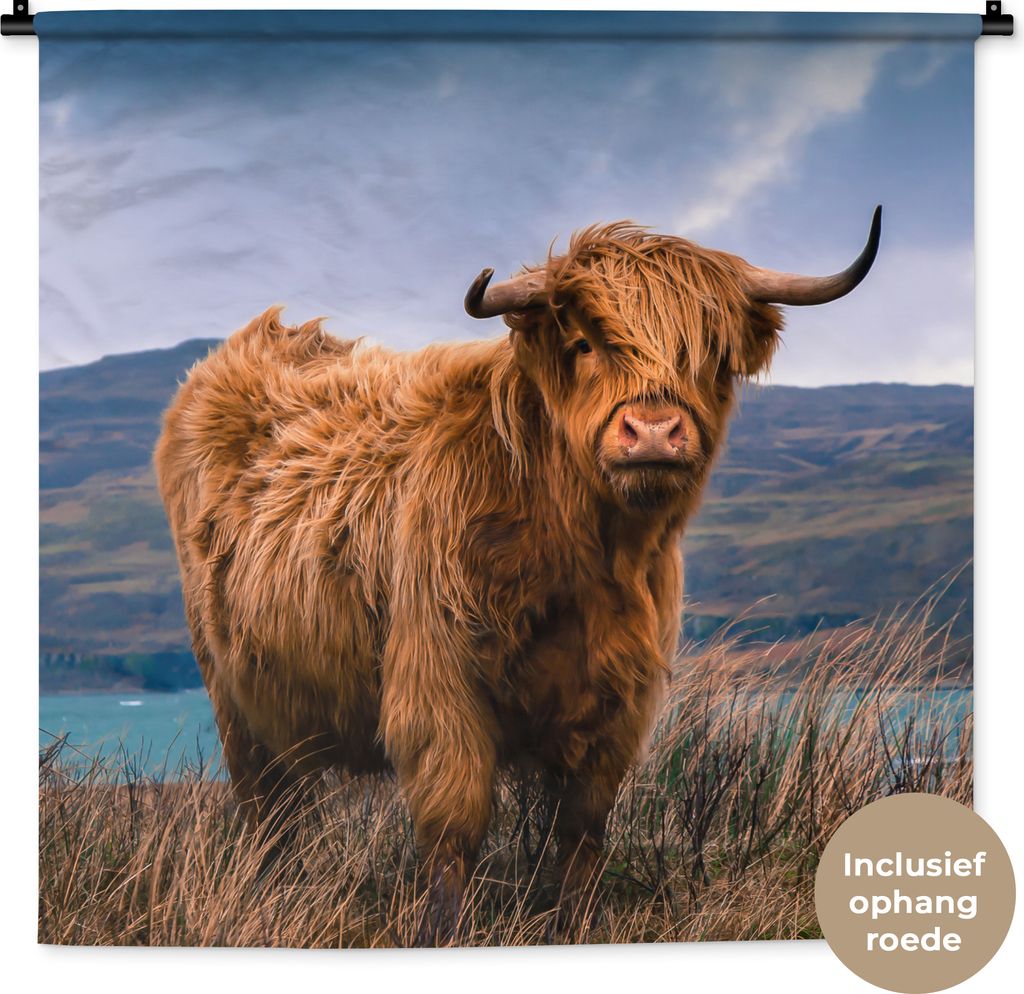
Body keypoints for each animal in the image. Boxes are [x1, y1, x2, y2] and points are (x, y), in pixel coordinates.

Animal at [155, 209, 881, 941]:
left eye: (707, 354)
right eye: (585, 343)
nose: (652, 432)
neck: (582, 557)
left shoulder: (620, 702)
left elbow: (583, 830)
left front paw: (575, 924)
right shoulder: (438, 687)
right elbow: (453, 828)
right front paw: (443, 933)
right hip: (234, 698)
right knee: (268, 812)